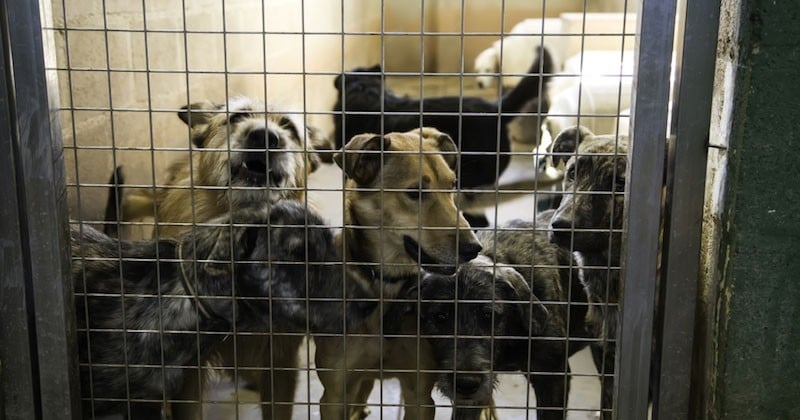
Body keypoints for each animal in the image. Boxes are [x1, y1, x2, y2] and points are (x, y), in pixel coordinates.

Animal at [312, 128, 482, 420]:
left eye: (452, 185)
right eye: (415, 193)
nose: (474, 248)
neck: (386, 283)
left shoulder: (419, 396)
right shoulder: (334, 394)